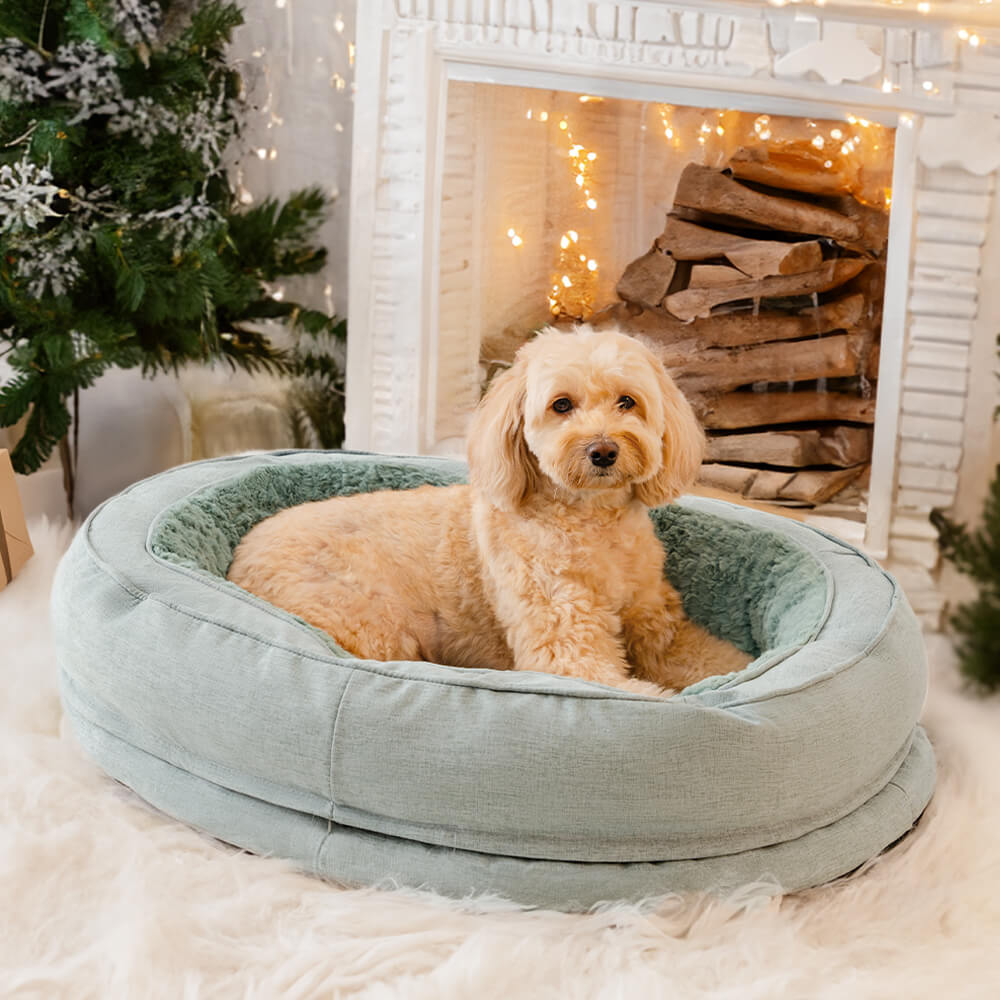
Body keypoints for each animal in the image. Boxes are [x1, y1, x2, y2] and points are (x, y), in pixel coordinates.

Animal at [227, 324, 752, 692]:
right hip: (371, 624)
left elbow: (710, 658)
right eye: (562, 405)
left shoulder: (660, 628)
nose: (603, 450)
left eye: (628, 402)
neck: (589, 521)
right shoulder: (566, 648)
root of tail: (239, 556)